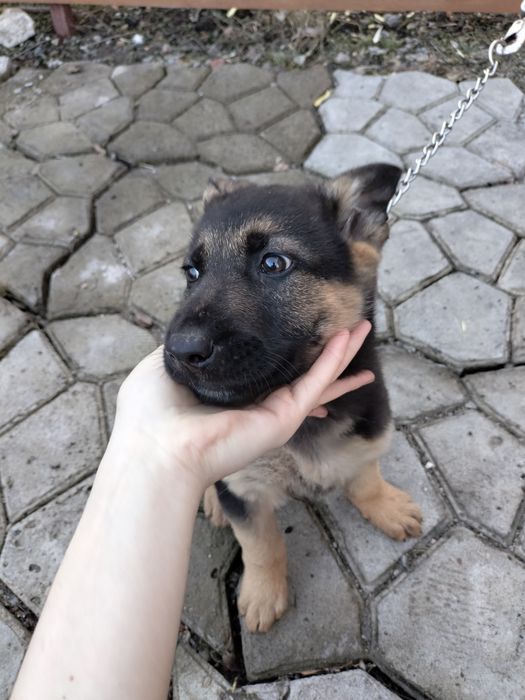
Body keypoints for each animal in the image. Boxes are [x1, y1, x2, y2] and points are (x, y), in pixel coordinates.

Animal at [164, 163, 422, 633]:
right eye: (192, 273)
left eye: (273, 263)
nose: (180, 351)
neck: (305, 422)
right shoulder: (244, 493)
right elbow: (261, 545)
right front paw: (264, 594)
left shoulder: (369, 430)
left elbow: (365, 476)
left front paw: (385, 505)